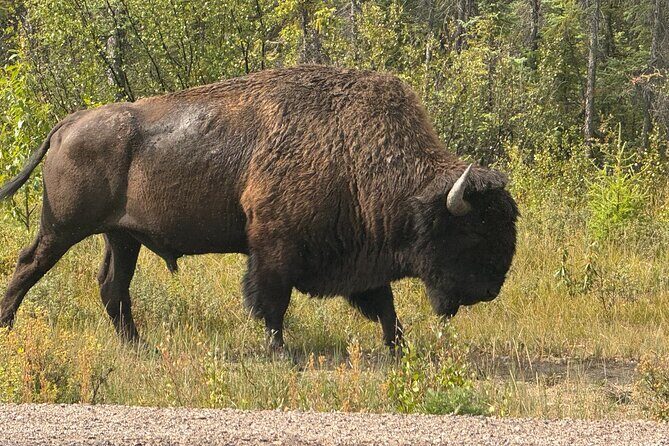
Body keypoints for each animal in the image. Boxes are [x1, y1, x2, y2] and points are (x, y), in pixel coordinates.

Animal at [0, 65, 518, 350]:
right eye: (475, 230)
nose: (491, 289)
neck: (360, 153)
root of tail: (69, 123)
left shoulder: (363, 261)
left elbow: (384, 307)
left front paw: (400, 350)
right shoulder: (273, 248)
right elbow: (272, 302)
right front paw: (281, 353)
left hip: (122, 237)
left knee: (113, 287)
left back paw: (137, 346)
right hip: (62, 227)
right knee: (29, 265)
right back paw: (7, 325)